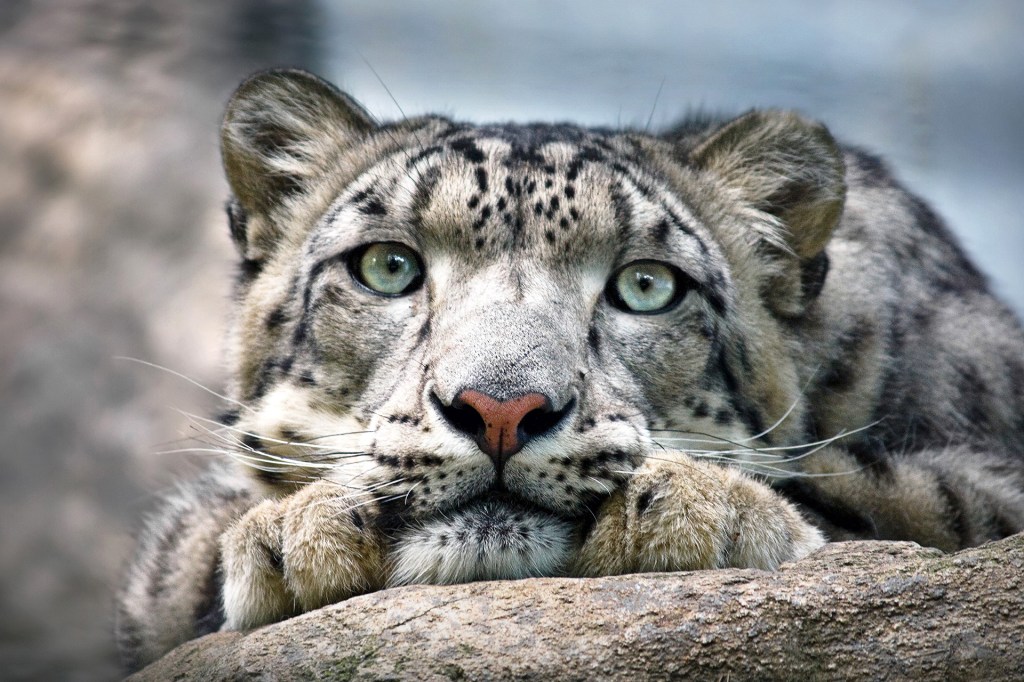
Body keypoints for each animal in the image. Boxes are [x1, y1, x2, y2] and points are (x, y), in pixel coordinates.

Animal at [116, 69, 1024, 671]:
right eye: (387, 266)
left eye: (648, 285)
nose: (500, 409)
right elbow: (183, 554)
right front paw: (300, 534)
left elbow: (891, 498)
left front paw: (703, 510)